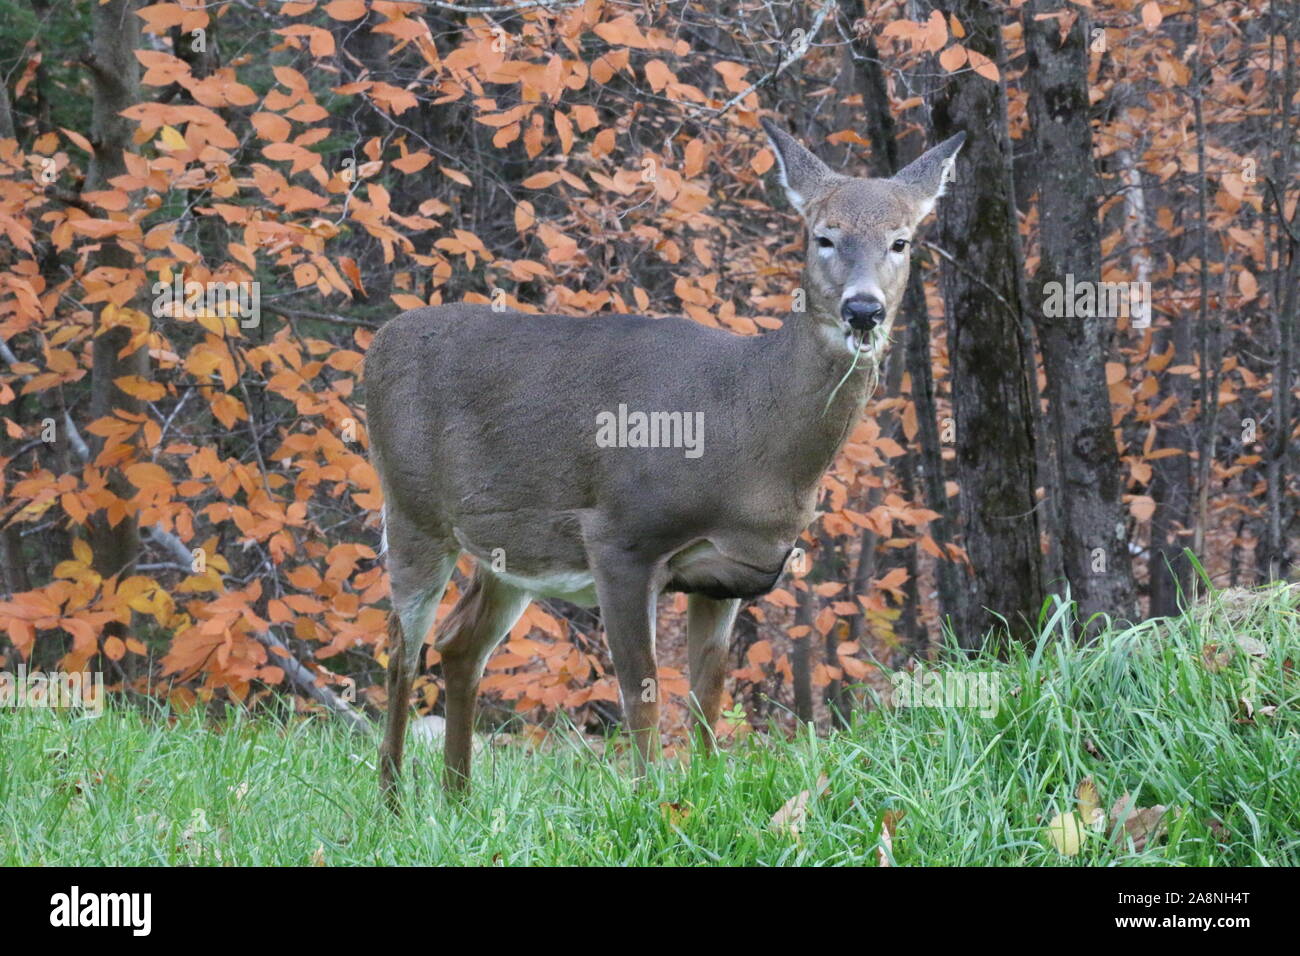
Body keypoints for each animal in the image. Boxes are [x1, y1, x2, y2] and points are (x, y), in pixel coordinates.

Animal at [369, 119, 967, 806]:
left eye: (900, 240)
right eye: (824, 236)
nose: (863, 309)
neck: (746, 433)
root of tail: (378, 342)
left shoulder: (728, 575)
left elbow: (708, 697)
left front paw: (703, 794)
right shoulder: (621, 538)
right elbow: (643, 693)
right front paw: (651, 804)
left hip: (508, 551)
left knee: (459, 644)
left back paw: (458, 798)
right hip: (410, 511)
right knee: (399, 650)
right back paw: (393, 801)